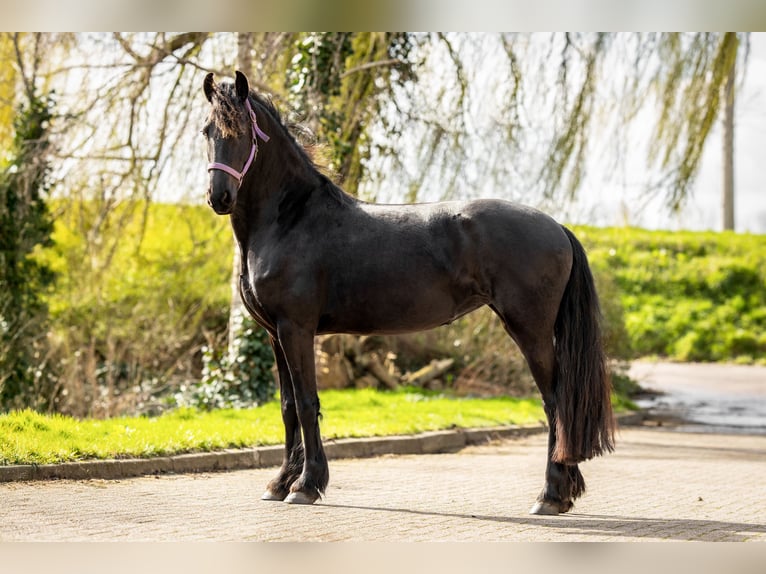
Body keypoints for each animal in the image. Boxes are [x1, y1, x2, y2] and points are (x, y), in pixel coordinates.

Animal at [201, 71, 615, 515]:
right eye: (208, 131)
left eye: (243, 133)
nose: (219, 197)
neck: (291, 219)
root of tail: (556, 227)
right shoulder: (275, 334)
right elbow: (289, 406)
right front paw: (280, 483)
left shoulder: (296, 329)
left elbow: (309, 403)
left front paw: (306, 485)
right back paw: (563, 492)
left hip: (530, 330)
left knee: (556, 402)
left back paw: (551, 495)